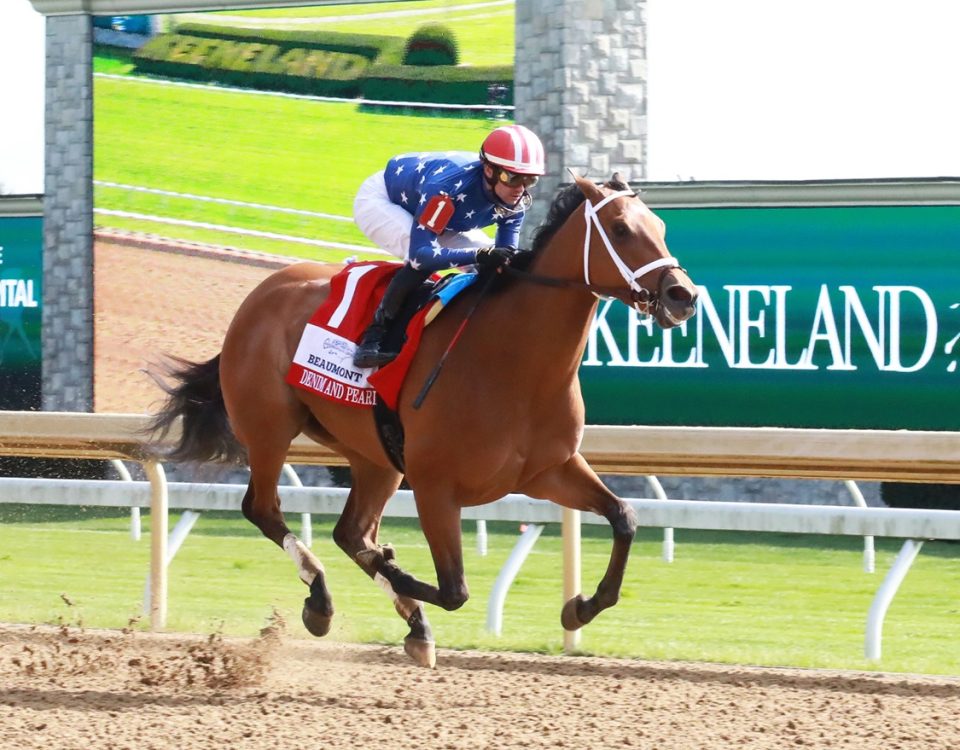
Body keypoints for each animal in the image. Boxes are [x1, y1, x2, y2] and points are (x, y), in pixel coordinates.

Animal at [150, 176, 700, 668]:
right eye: (621, 229)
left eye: (660, 226)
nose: (683, 295)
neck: (514, 359)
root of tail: (259, 295)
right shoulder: (436, 486)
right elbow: (455, 589)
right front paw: (394, 568)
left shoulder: (549, 471)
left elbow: (624, 517)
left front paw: (580, 607)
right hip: (269, 428)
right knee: (265, 510)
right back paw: (323, 600)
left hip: (374, 456)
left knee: (351, 534)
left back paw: (409, 622)